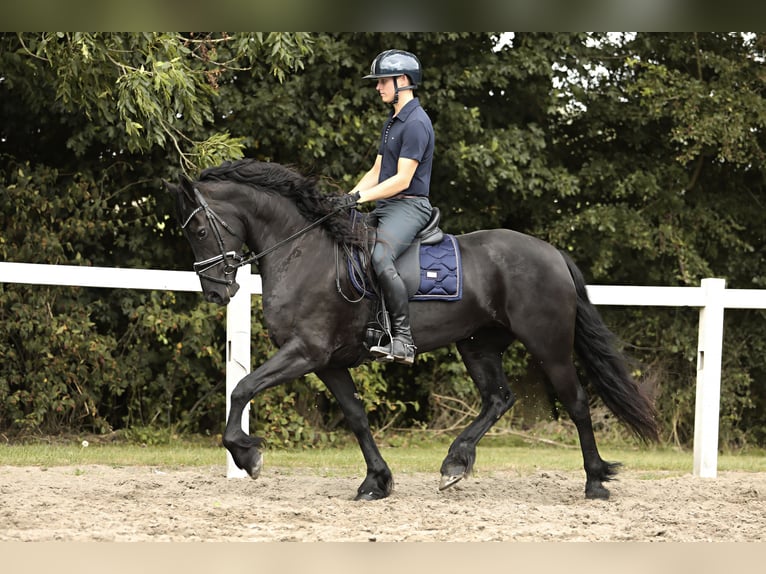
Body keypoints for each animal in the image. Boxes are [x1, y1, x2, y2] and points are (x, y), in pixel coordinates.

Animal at [168, 160, 660, 502]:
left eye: (198, 229)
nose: (217, 292)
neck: (303, 251)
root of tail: (552, 253)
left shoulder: (304, 351)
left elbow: (242, 388)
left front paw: (247, 454)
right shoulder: (327, 362)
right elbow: (356, 417)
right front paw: (376, 481)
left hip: (549, 345)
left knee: (576, 403)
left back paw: (595, 482)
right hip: (478, 345)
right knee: (498, 399)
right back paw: (455, 464)